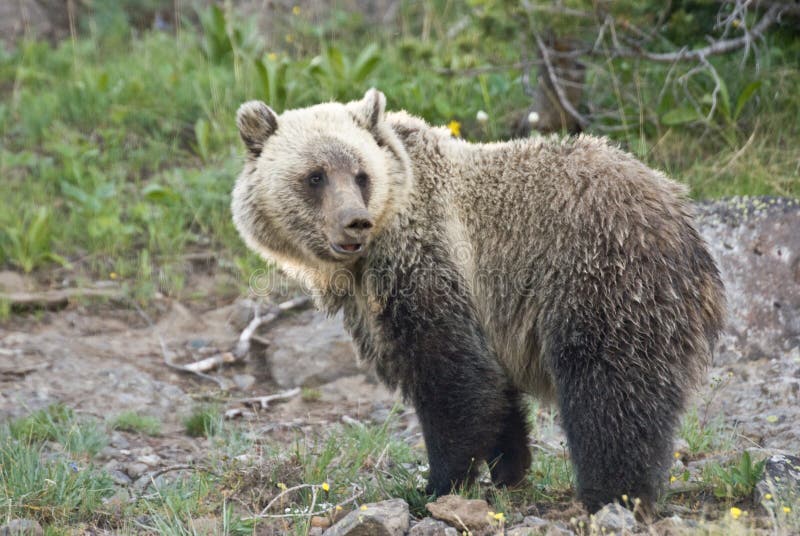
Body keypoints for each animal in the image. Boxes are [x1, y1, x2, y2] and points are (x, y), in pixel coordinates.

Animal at [230, 89, 724, 516]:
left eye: (360, 174)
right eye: (315, 176)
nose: (355, 222)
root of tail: (682, 220)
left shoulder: (429, 267)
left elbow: (453, 381)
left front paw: (435, 484)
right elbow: (495, 389)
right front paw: (509, 467)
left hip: (602, 282)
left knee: (611, 394)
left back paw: (612, 494)